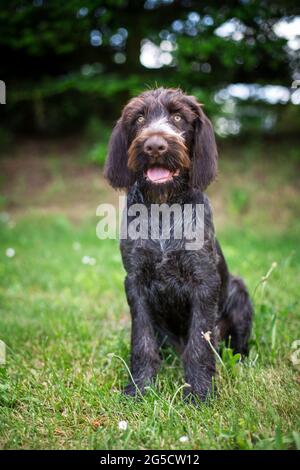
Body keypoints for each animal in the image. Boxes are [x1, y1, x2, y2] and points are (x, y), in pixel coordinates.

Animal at [104, 87, 252, 400]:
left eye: (177, 117)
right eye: (139, 118)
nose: (154, 146)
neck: (164, 207)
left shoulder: (204, 282)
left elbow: (199, 344)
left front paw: (199, 392)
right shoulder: (135, 281)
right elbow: (142, 342)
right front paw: (139, 388)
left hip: (239, 291)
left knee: (236, 346)